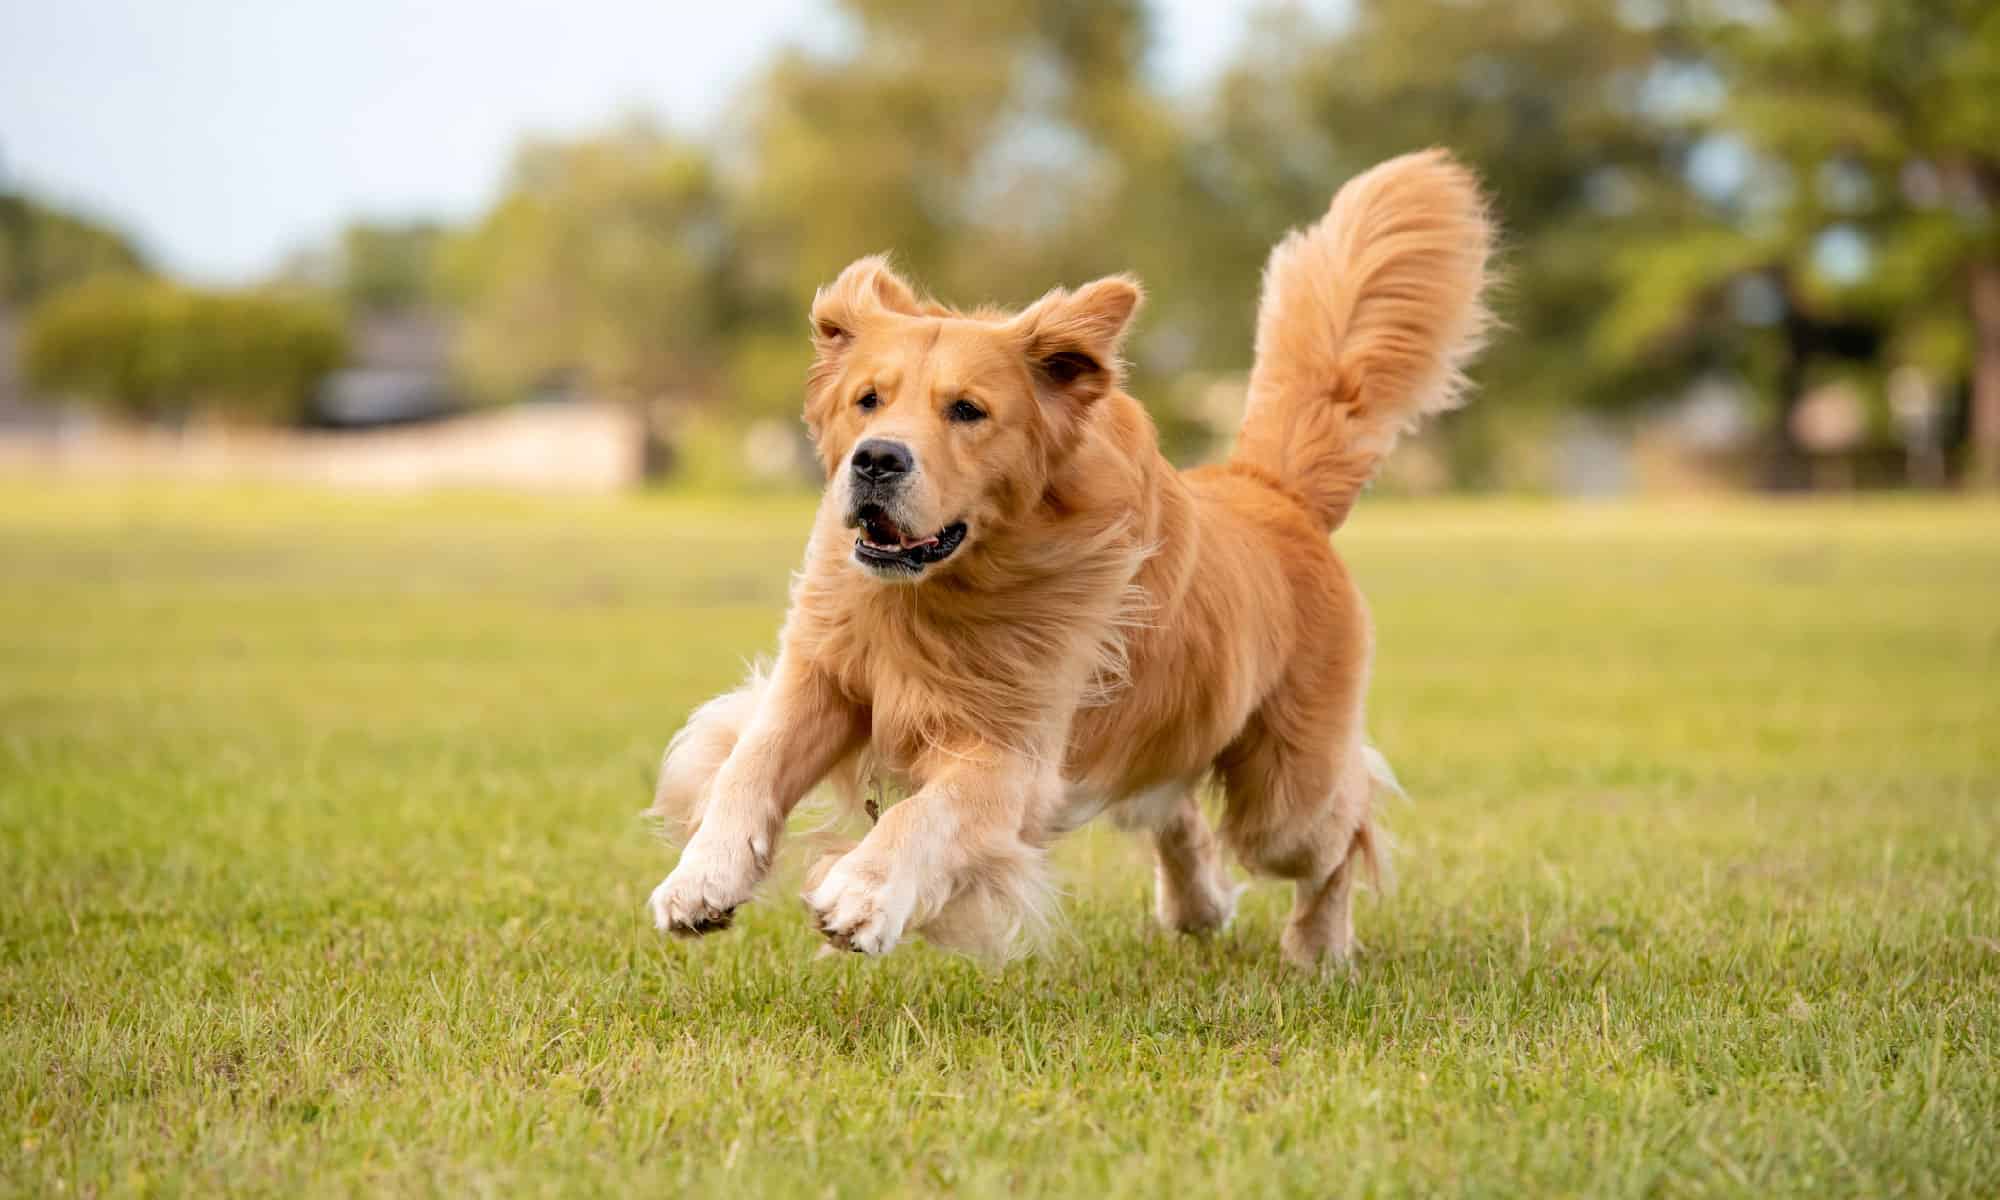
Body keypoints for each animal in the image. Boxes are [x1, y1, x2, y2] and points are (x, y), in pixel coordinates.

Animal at [648, 150, 1496, 972]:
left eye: (968, 410)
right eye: (867, 399)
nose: (877, 459)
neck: (938, 593)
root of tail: (1271, 488)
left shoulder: (1014, 754)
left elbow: (926, 811)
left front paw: (863, 892)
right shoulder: (823, 673)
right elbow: (749, 764)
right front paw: (702, 878)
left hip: (1287, 796)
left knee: (1342, 832)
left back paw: (1317, 947)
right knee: (1177, 807)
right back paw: (1198, 906)